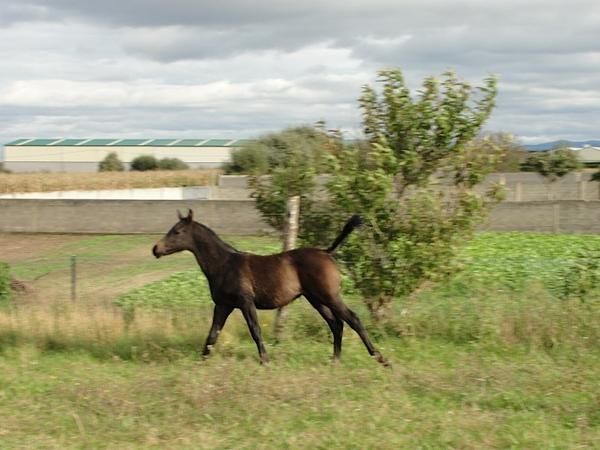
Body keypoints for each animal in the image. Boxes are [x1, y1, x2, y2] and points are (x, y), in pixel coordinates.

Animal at [152, 209, 390, 368]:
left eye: (178, 231)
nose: (156, 249)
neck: (224, 264)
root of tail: (327, 252)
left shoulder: (245, 302)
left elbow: (255, 330)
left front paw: (265, 361)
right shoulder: (223, 305)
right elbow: (212, 334)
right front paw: (200, 363)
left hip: (330, 296)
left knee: (353, 319)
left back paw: (381, 359)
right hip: (316, 299)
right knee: (336, 323)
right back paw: (335, 360)